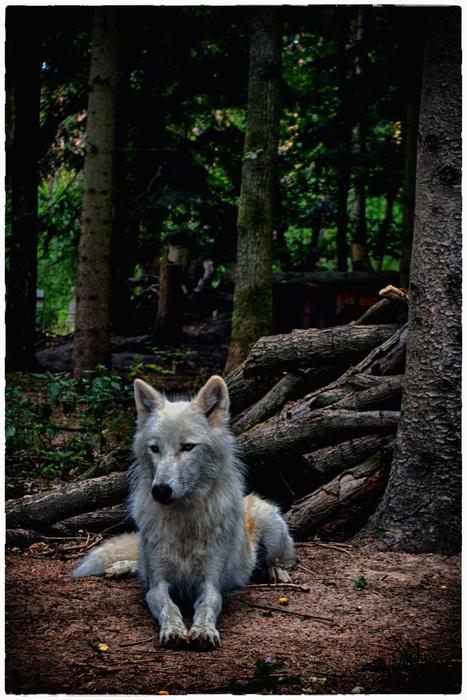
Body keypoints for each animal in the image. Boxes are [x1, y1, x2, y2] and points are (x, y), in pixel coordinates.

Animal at [73, 375, 294, 649]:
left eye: (188, 447)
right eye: (155, 448)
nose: (160, 491)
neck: (184, 519)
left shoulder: (210, 584)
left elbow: (207, 606)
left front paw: (202, 631)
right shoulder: (157, 585)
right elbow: (169, 607)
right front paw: (175, 630)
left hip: (272, 527)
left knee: (277, 558)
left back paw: (276, 571)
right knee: (139, 563)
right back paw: (123, 566)